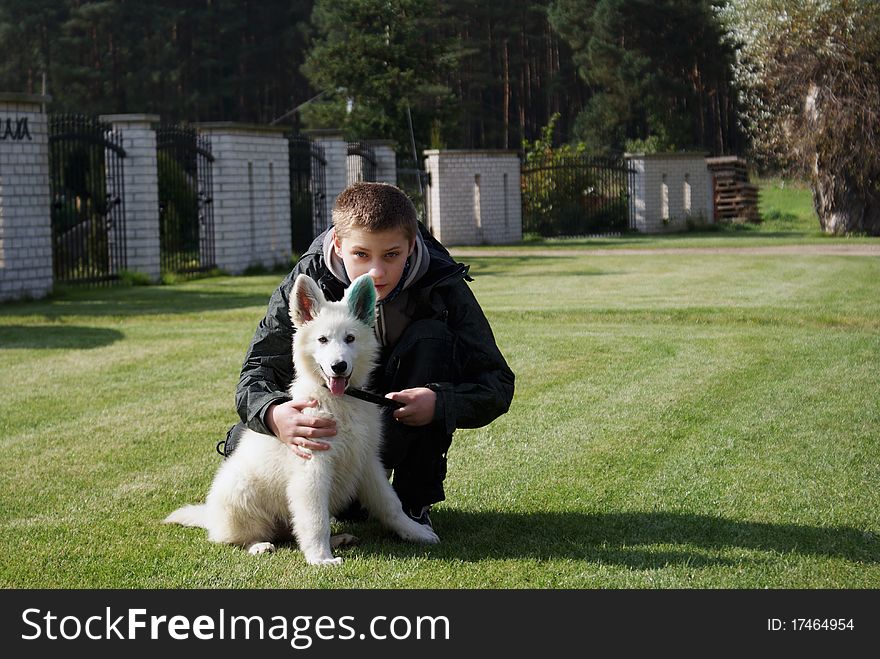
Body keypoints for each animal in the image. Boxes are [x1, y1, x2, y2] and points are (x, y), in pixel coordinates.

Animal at [163, 274, 438, 568]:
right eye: (322, 339)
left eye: (350, 338)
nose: (338, 366)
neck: (338, 400)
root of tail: (211, 517)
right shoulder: (312, 466)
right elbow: (315, 518)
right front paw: (320, 558)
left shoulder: (366, 461)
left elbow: (390, 504)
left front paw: (414, 531)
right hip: (241, 495)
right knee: (236, 537)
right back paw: (259, 545)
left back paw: (338, 539)